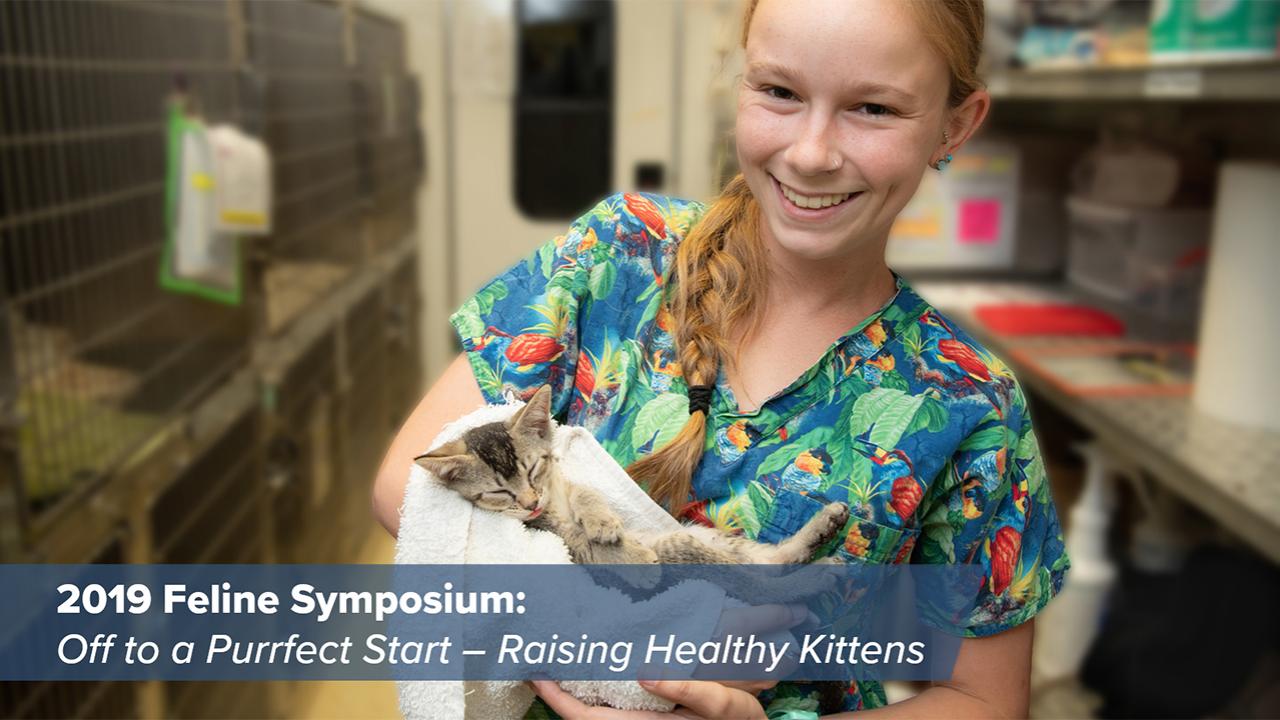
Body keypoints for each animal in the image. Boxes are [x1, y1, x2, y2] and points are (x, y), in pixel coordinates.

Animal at [412, 384, 849, 563]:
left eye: (533, 469)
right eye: (498, 494)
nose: (531, 502)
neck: (552, 505)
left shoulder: (566, 484)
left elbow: (588, 493)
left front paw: (602, 521)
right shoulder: (551, 536)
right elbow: (578, 541)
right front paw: (624, 550)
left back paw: (824, 531)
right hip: (687, 545)